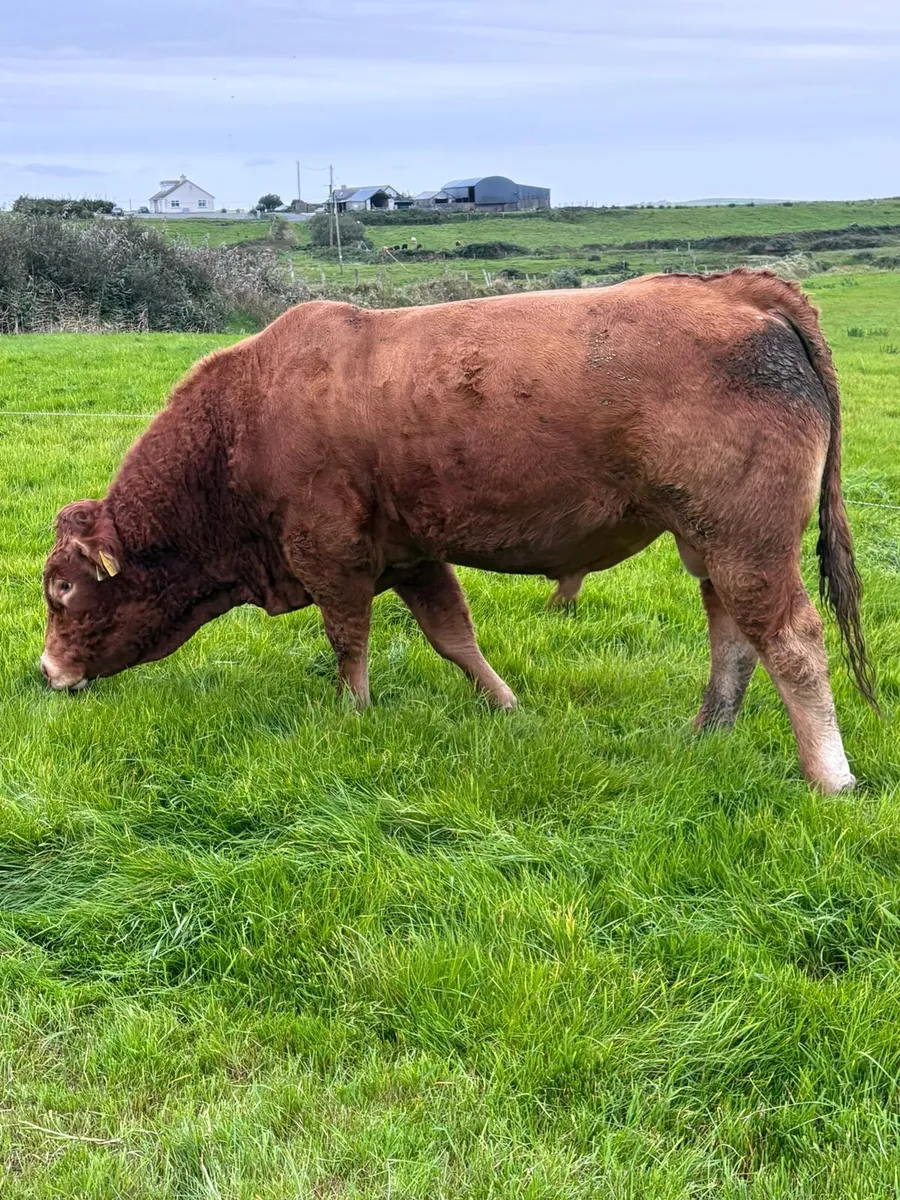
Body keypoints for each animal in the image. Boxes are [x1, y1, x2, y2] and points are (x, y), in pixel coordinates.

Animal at [40, 270, 876, 793]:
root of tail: (737, 288)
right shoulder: (410, 555)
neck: (244, 423)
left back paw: (828, 776)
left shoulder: (331, 557)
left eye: (62, 590)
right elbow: (454, 635)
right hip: (709, 542)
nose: (46, 672)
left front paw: (354, 714)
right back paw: (707, 733)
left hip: (747, 543)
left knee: (792, 641)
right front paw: (505, 707)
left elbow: (348, 641)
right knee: (733, 636)